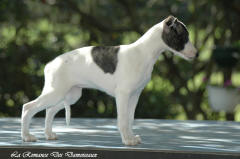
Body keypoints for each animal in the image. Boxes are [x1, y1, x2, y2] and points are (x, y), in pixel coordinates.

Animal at [21, 15, 197, 145]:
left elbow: (130, 119)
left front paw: (131, 138)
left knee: (49, 111)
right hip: (56, 93)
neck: (143, 52)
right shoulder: (123, 95)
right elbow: (123, 120)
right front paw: (127, 141)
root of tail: (50, 64)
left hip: (69, 95)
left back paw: (48, 134)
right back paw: (27, 136)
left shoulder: (134, 95)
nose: (196, 54)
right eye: (184, 36)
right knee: (28, 107)